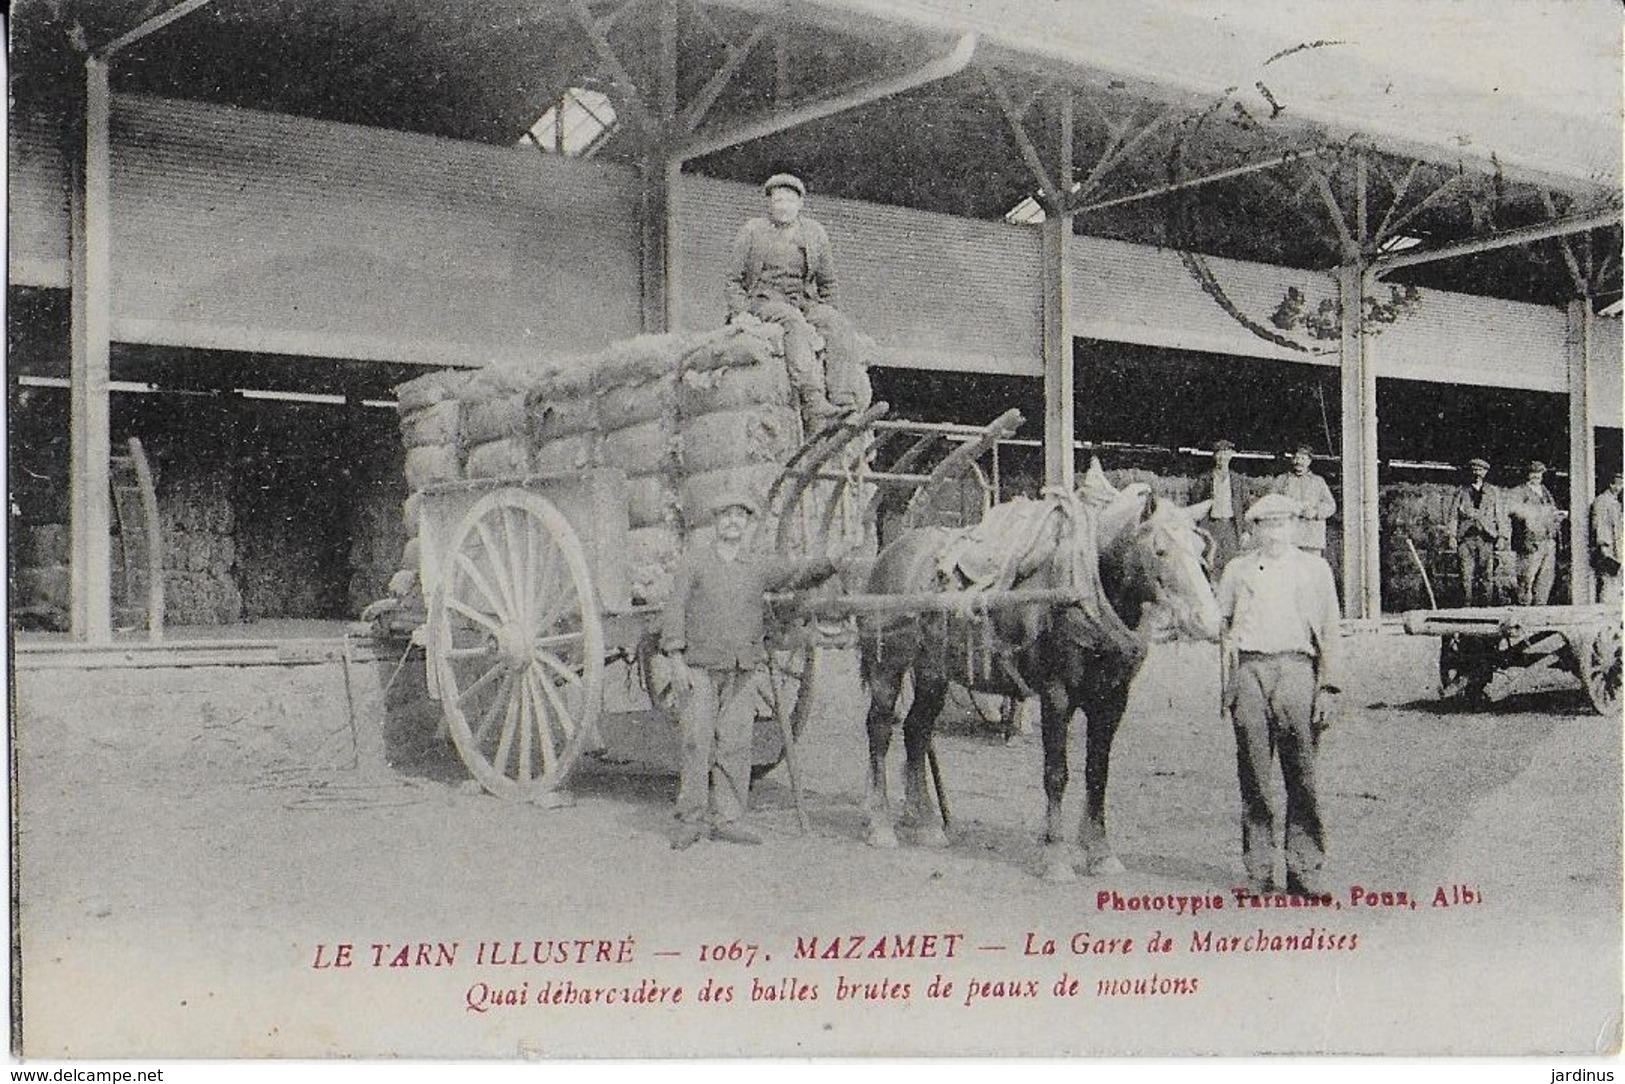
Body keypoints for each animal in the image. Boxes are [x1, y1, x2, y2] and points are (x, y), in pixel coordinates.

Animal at [864, 471, 1222, 884]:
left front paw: (1100, 853)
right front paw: (1055, 857)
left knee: (917, 731)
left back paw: (924, 823)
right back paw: (880, 824)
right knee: (880, 730)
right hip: (887, 668)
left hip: (932, 674)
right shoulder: (1057, 695)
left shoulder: (1112, 700)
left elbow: (1097, 773)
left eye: (1201, 550)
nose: (1208, 619)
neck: (1084, 590)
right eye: (1160, 550)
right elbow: (1056, 773)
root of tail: (888, 554)